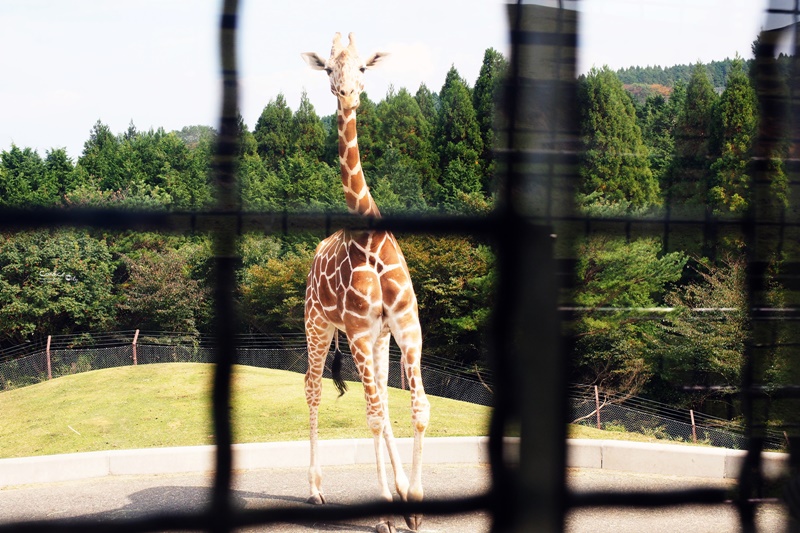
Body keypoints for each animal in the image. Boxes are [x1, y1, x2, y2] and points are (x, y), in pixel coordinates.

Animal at [300, 33, 428, 532]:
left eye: (363, 67)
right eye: (327, 68)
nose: (347, 93)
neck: (370, 236)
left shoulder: (405, 326)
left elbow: (415, 408)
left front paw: (413, 501)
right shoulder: (355, 330)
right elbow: (372, 416)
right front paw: (389, 510)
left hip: (378, 338)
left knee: (386, 405)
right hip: (319, 326)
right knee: (313, 388)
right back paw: (315, 490)